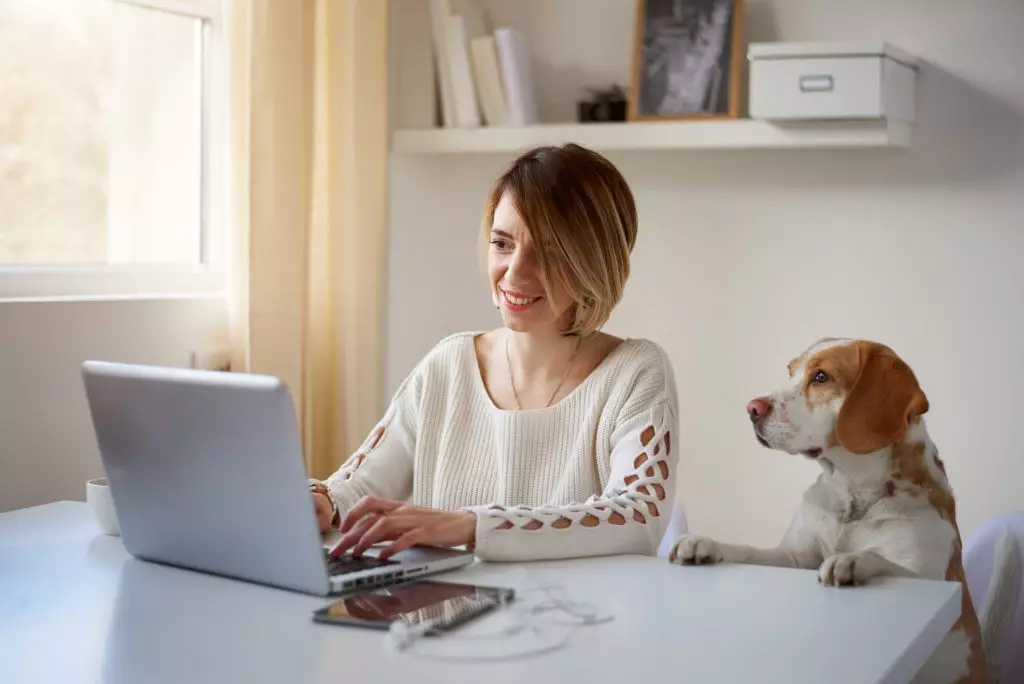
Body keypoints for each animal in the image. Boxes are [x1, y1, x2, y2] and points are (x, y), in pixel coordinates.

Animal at [667, 337, 1019, 684]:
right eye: (791, 370)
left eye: (821, 376)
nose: (752, 408)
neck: (854, 497)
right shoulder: (795, 557)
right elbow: (750, 551)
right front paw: (705, 543)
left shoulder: (929, 576)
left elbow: (883, 561)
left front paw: (853, 560)